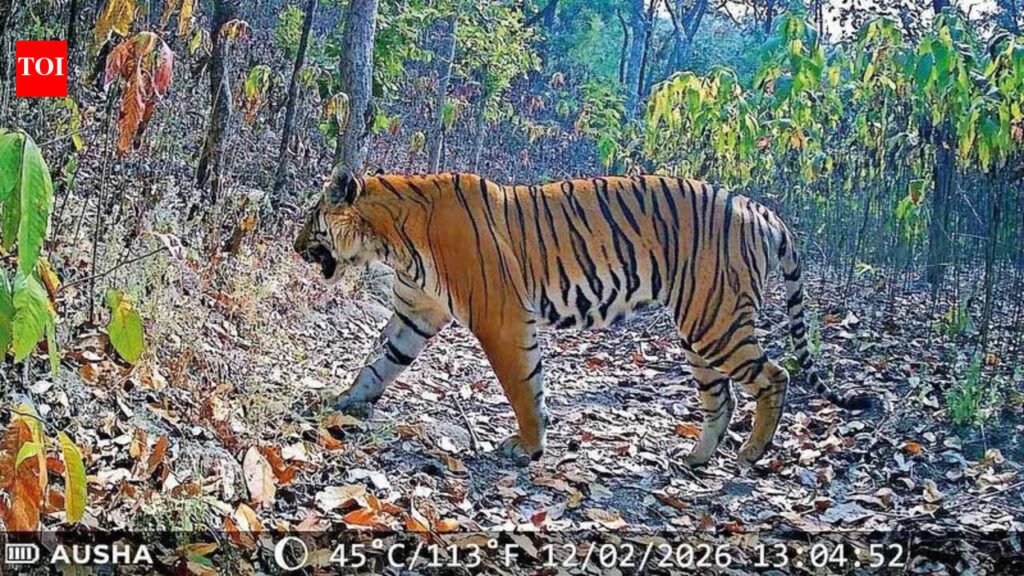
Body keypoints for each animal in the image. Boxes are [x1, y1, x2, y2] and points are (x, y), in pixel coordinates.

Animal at [293, 168, 874, 467]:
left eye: (310, 220)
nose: (296, 247)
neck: (389, 239)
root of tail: (761, 209)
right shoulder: (415, 312)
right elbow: (378, 362)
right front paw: (342, 401)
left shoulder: (502, 317)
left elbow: (523, 387)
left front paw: (528, 446)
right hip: (700, 330)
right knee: (723, 397)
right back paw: (695, 458)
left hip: (718, 321)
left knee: (773, 378)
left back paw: (752, 453)